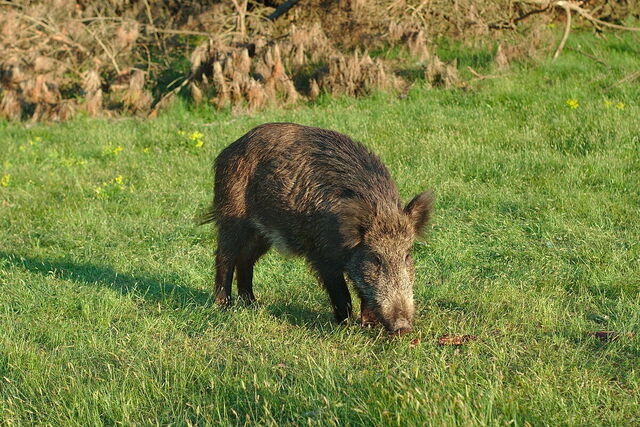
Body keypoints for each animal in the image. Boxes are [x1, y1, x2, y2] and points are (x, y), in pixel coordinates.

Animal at [200, 123, 433, 335]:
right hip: (232, 214)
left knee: (246, 260)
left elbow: (362, 290)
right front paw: (345, 325)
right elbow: (341, 292)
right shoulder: (321, 254)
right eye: (375, 258)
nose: (403, 328)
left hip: (262, 234)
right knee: (224, 256)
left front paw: (368, 325)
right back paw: (224, 305)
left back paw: (252, 304)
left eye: (407, 255)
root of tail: (228, 150)